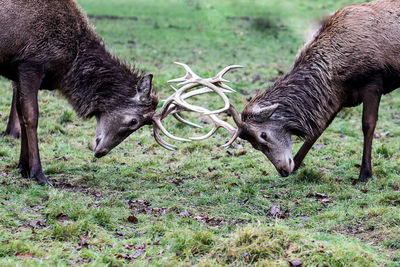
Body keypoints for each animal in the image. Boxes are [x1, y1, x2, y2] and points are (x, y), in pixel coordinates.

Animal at [0, 0, 159, 186]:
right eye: (134, 121)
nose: (101, 153)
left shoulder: (16, 72)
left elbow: (20, 114)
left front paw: (23, 167)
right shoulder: (30, 64)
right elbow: (31, 117)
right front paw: (39, 174)